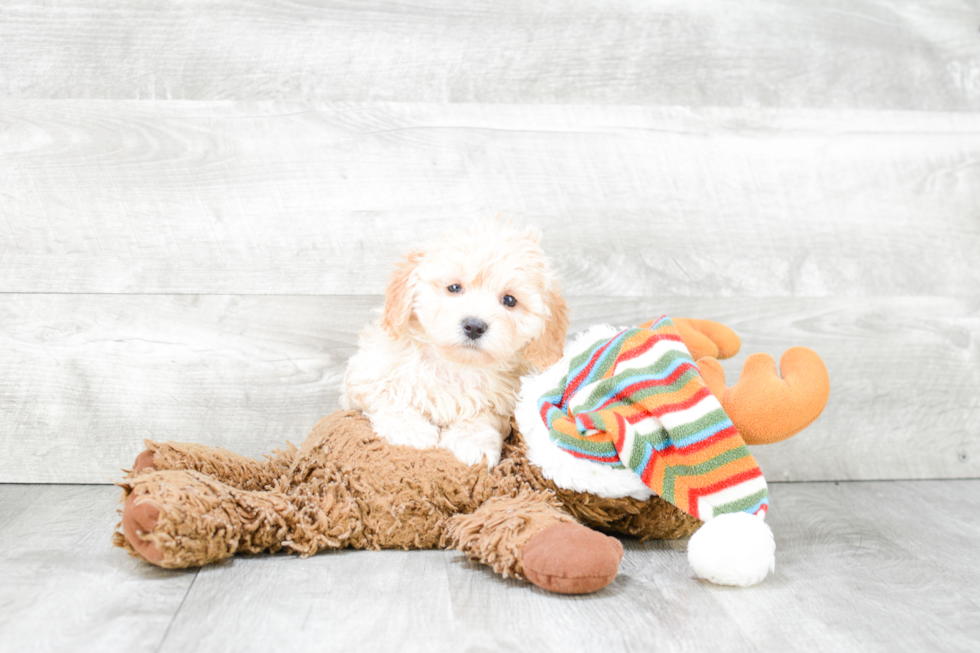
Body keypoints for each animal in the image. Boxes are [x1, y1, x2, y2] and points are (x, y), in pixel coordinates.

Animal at [340, 222, 568, 466]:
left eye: (509, 300)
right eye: (455, 288)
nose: (474, 326)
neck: (455, 365)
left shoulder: (503, 399)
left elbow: (482, 415)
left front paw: (472, 441)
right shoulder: (367, 373)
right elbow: (390, 395)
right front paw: (409, 430)